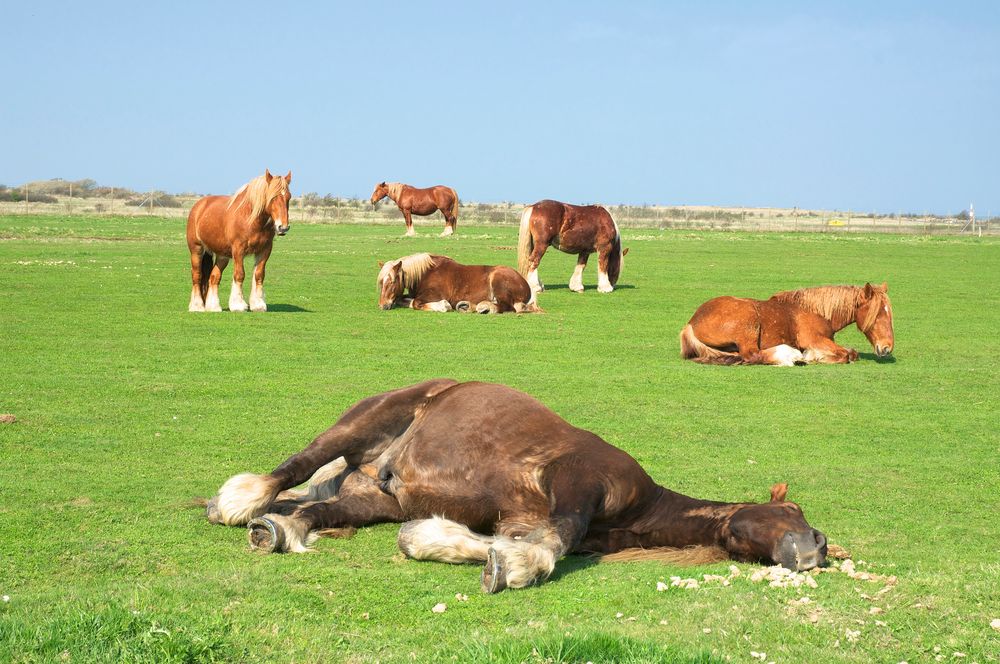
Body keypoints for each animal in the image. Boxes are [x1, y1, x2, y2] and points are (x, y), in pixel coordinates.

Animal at [187, 167, 292, 310]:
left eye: (288, 197)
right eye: (272, 197)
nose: (283, 227)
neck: (250, 219)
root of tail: (199, 206)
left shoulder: (264, 250)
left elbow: (259, 275)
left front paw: (258, 304)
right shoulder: (238, 250)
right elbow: (239, 274)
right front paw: (238, 304)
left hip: (222, 256)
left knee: (214, 277)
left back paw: (213, 306)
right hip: (196, 250)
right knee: (197, 276)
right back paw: (197, 306)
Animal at [205, 382, 828, 592]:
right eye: (794, 509)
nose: (816, 549)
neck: (640, 508)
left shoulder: (529, 518)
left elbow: (505, 539)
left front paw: (439, 541)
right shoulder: (578, 483)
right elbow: (554, 541)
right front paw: (516, 568)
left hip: (372, 499)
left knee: (317, 511)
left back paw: (278, 529)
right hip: (362, 421)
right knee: (291, 469)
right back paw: (239, 503)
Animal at [376, 255, 540, 316]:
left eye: (392, 281)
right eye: (381, 283)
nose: (382, 306)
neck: (426, 273)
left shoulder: (432, 295)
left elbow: (416, 303)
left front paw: (444, 306)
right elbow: (403, 300)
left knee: (506, 306)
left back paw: (485, 308)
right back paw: (470, 306)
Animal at [684, 280, 896, 364]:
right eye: (877, 315)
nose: (887, 348)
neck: (816, 312)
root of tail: (691, 322)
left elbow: (851, 352)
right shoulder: (814, 340)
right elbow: (846, 355)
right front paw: (812, 356)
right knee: (753, 355)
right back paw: (791, 356)